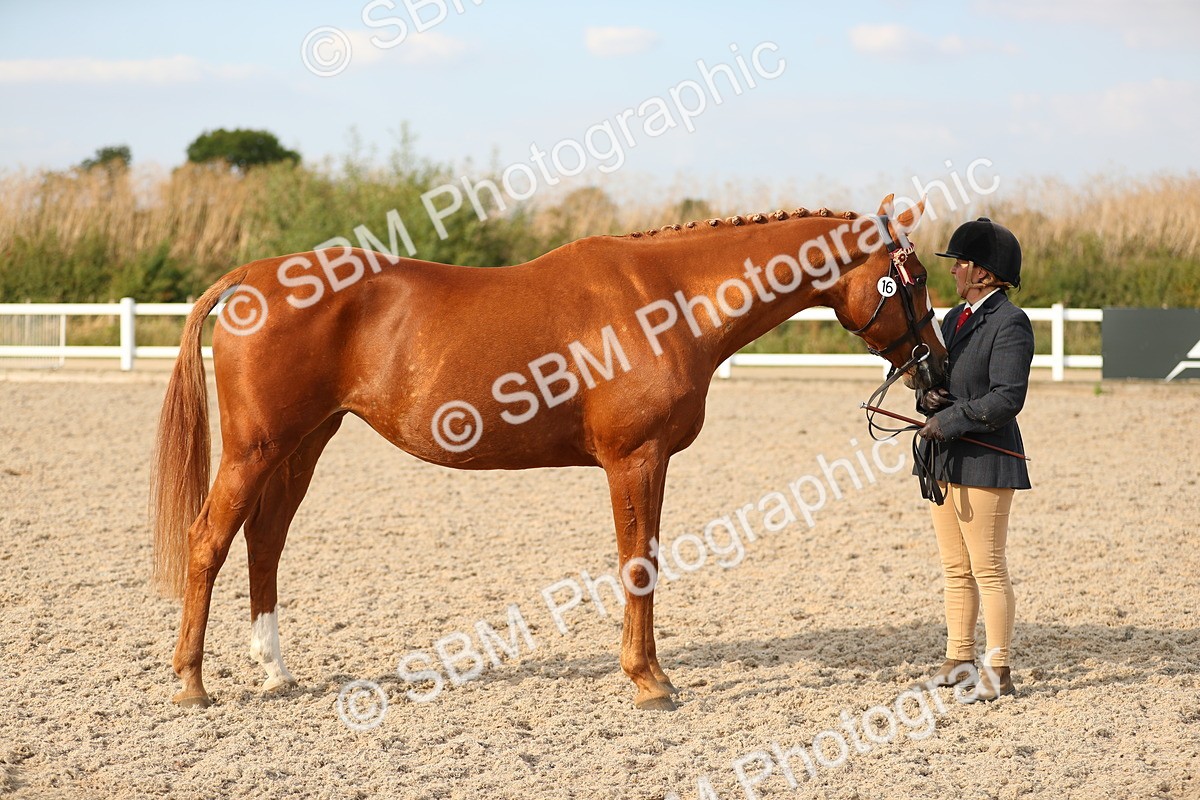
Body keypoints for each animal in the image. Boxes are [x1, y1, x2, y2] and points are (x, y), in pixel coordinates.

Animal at [151, 194, 947, 711]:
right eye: (911, 280)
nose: (936, 371)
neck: (667, 298)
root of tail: (251, 278)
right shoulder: (636, 459)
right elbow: (638, 564)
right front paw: (649, 681)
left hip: (303, 444)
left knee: (264, 542)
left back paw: (274, 672)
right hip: (256, 448)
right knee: (209, 540)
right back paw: (191, 683)